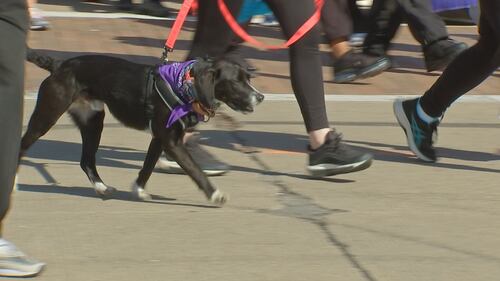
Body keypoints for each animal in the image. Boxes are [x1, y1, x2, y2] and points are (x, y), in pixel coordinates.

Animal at [23, 49, 264, 205]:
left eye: (248, 78)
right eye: (236, 81)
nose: (260, 97)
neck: (184, 84)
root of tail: (58, 64)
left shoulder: (159, 139)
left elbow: (147, 167)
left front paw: (139, 190)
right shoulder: (171, 142)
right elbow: (195, 170)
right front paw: (215, 194)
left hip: (93, 121)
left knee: (86, 161)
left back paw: (102, 188)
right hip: (45, 118)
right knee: (22, 145)